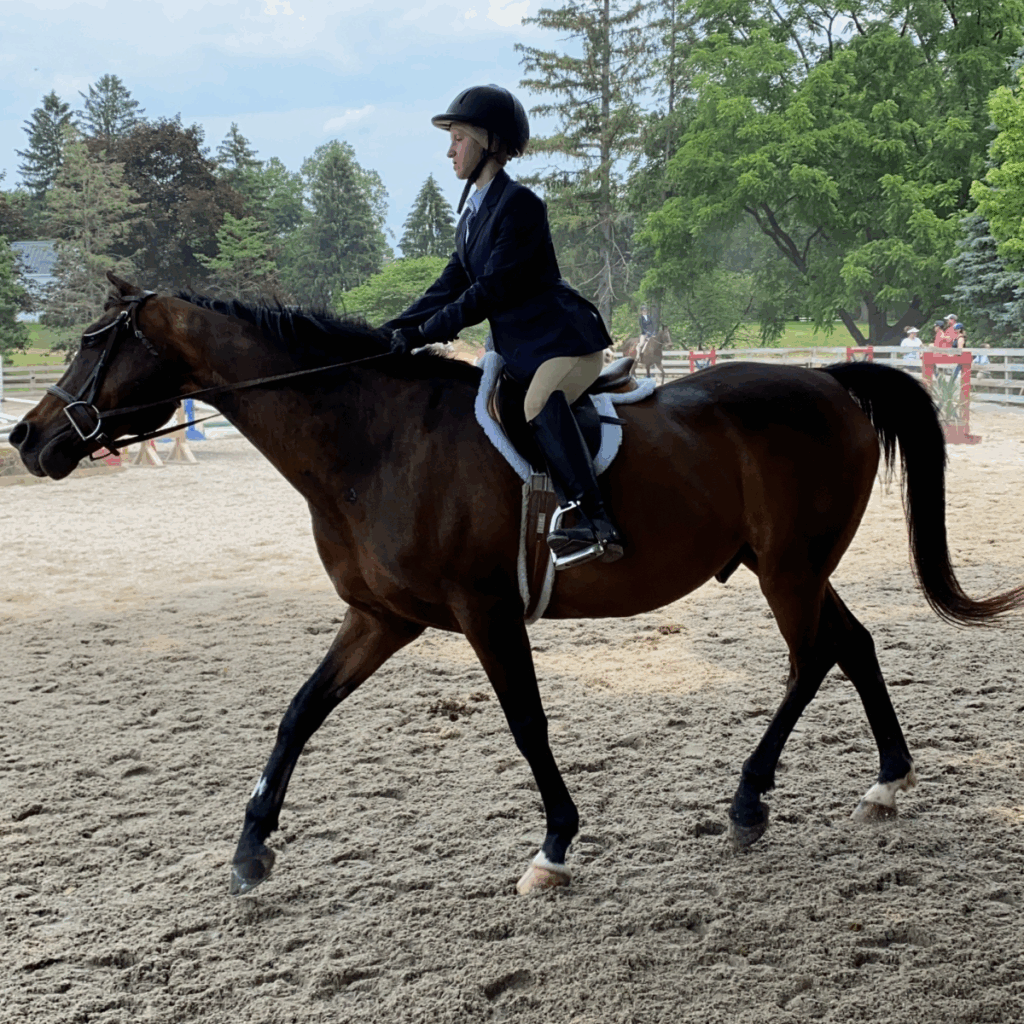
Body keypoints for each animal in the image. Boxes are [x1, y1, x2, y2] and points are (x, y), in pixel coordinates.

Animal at [11, 272, 1024, 898]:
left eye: (96, 344)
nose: (29, 437)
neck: (371, 441)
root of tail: (830, 384)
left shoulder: (485, 612)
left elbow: (527, 725)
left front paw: (555, 847)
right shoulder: (380, 617)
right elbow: (298, 714)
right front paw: (251, 849)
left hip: (788, 569)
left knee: (811, 659)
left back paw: (748, 801)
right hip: (797, 566)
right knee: (851, 644)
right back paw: (887, 781)